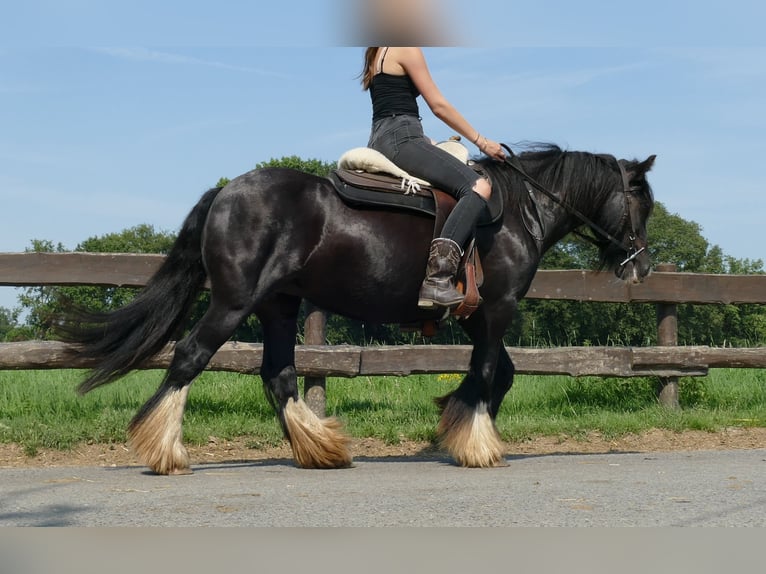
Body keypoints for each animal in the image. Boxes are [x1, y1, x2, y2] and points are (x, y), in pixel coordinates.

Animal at [63, 145, 656, 476]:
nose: (643, 266)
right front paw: (477, 443)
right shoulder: (497, 310)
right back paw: (166, 452)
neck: (515, 212)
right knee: (190, 356)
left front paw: (456, 423)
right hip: (235, 303)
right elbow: (489, 372)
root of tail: (226, 191)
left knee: (279, 375)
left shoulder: (477, 317)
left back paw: (320, 448)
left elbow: (498, 374)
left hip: (279, 306)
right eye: (642, 203)